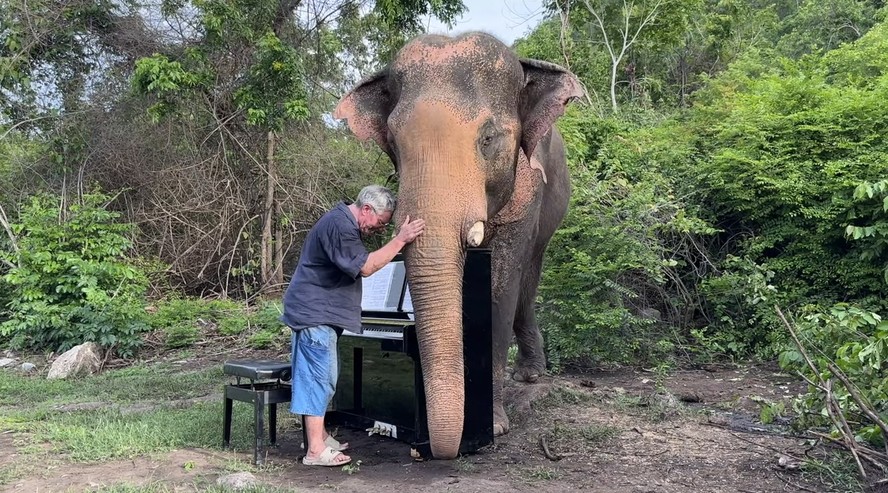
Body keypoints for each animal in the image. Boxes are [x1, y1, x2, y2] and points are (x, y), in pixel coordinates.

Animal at [332, 32, 584, 460]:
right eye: (394, 143)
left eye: (488, 139)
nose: (429, 451)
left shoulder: (527, 191)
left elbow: (500, 286)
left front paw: (494, 427)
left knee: (529, 274)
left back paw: (531, 374)